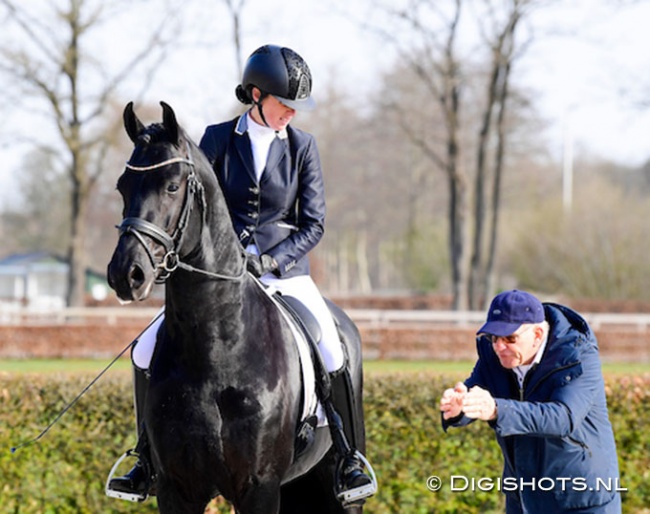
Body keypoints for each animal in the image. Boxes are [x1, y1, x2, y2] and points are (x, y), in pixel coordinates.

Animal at [105, 101, 370, 512]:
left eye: (172, 186)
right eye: (123, 186)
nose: (125, 274)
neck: (216, 348)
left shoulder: (259, 486)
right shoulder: (176, 488)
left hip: (336, 487)